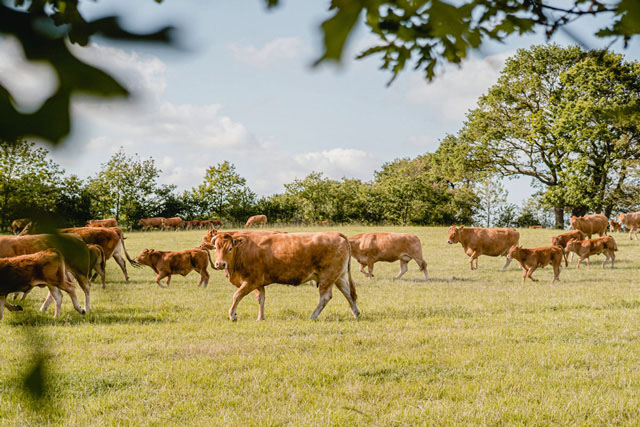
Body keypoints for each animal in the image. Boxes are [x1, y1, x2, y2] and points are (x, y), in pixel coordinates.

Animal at [211, 232, 360, 321]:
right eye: (215, 248)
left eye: (230, 248)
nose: (220, 264)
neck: (244, 249)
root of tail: (337, 234)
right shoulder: (259, 283)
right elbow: (261, 299)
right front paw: (260, 317)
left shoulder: (251, 281)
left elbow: (237, 296)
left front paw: (232, 315)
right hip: (339, 277)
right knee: (348, 294)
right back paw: (356, 313)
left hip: (327, 277)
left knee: (325, 297)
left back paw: (313, 316)